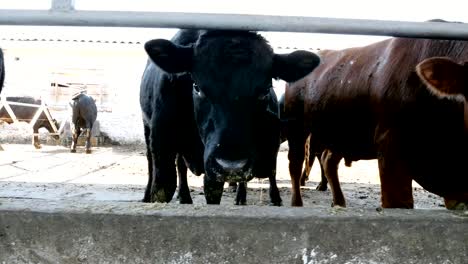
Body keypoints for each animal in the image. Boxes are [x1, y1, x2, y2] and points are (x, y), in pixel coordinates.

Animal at [141, 29, 320, 205]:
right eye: (197, 87)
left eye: (265, 90)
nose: (232, 166)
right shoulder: (162, 148)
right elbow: (162, 189)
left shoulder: (214, 174)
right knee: (154, 162)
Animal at [284, 21, 468, 210]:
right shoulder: (390, 148)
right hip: (296, 127)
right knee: (295, 163)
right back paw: (296, 203)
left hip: (339, 133)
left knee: (328, 160)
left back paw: (339, 203)